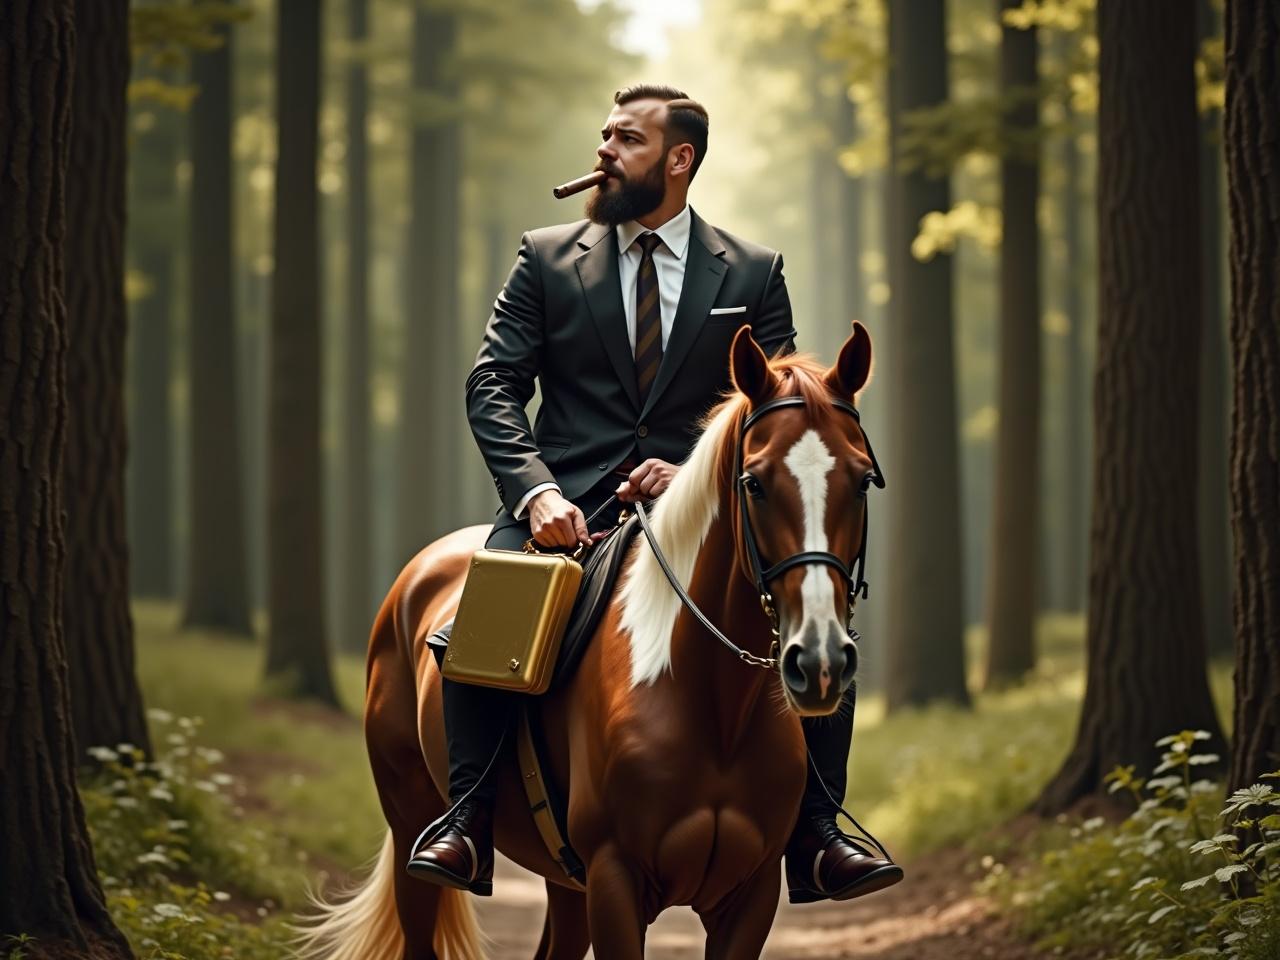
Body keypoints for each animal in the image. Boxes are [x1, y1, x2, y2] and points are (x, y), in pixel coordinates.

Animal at [300, 325, 880, 960]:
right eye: (754, 482)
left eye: (861, 480)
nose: (820, 661)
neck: (711, 705)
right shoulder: (614, 881)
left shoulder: (750, 897)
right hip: (411, 822)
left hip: (564, 884)